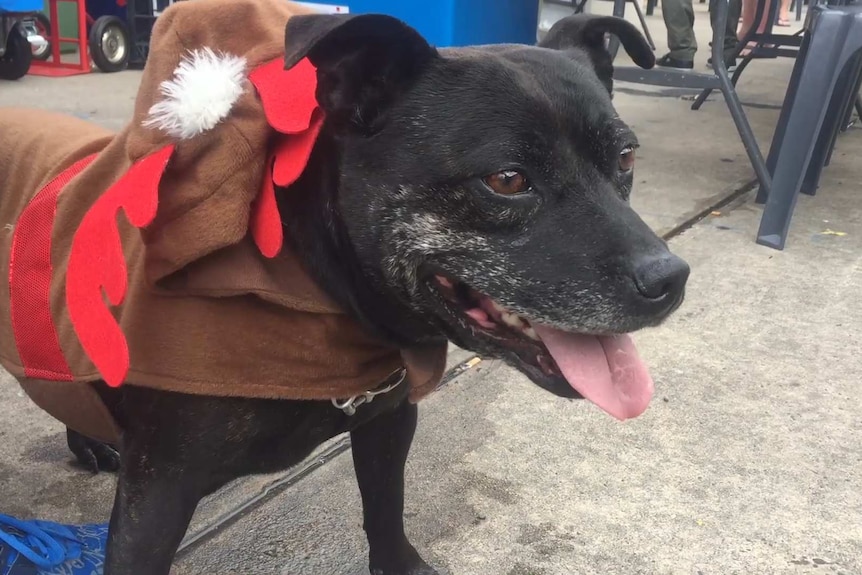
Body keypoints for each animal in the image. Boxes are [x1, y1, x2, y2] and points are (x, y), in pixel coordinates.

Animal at [62, 13, 688, 575]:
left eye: (626, 157)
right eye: (507, 180)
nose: (670, 279)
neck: (311, 284)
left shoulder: (387, 421)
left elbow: (386, 508)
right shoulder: (158, 494)